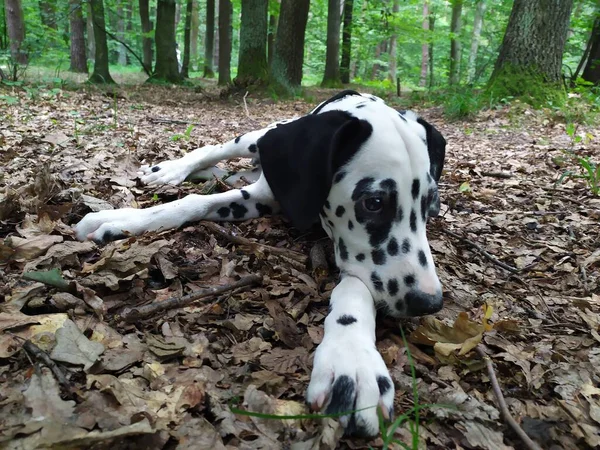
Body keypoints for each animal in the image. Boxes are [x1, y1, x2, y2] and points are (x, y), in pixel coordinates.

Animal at [75, 89, 446, 438]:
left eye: (429, 202)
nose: (429, 302)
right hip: (258, 137)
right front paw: (123, 217)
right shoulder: (262, 195)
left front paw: (352, 359)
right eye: (374, 202)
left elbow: (355, 288)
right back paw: (172, 169)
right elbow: (190, 203)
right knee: (216, 149)